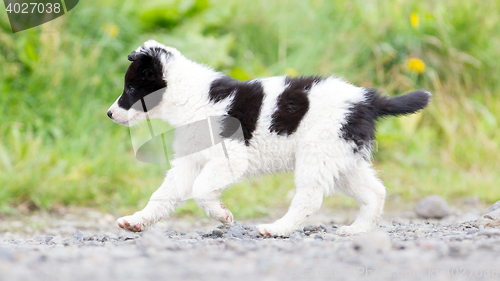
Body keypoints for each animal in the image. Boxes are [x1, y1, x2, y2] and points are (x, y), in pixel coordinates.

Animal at [106, 39, 430, 235]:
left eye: (131, 88)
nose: (109, 114)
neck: (193, 98)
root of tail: (367, 100)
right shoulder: (189, 161)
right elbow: (163, 194)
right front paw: (136, 221)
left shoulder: (230, 158)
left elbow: (201, 189)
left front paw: (222, 215)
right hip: (341, 160)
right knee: (375, 192)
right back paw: (356, 230)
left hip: (317, 155)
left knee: (309, 198)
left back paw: (277, 229)